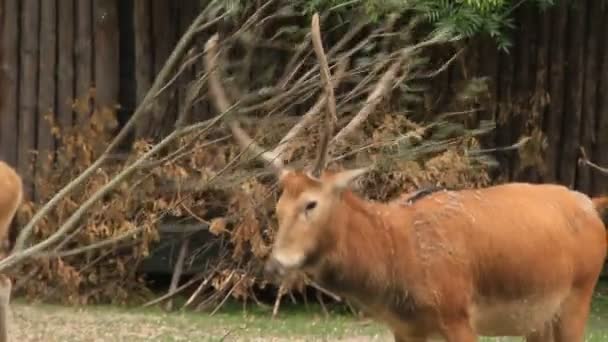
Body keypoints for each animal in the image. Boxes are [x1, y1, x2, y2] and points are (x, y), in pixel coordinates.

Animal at [204, 12, 608, 342]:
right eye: (278, 207)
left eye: (311, 203)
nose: (276, 264)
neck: (398, 261)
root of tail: (591, 204)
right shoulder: (405, 328)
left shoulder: (458, 314)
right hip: (538, 319)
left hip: (579, 294)